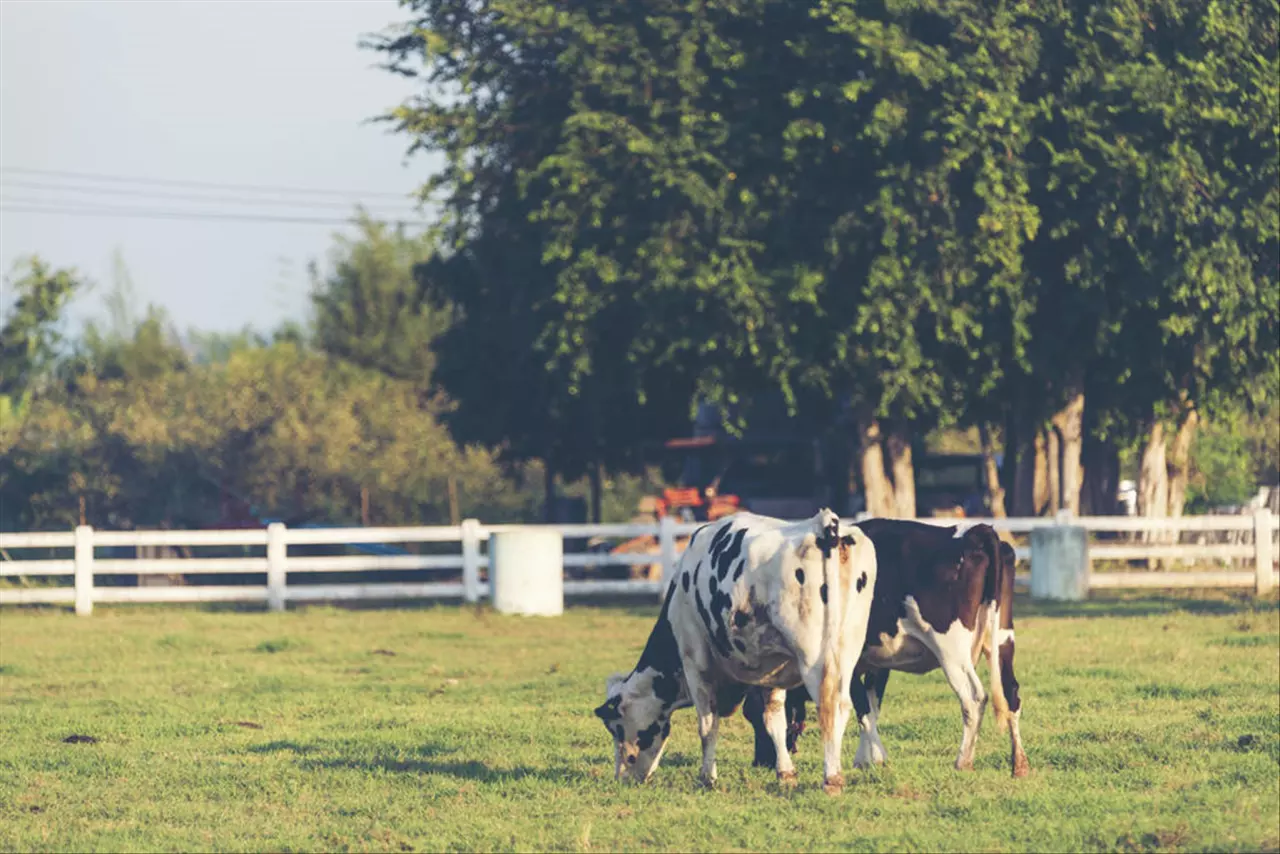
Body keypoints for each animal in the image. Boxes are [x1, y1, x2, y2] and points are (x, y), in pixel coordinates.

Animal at [591, 507, 875, 793]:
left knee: (828, 707)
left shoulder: (696, 663)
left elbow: (707, 724)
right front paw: (785, 773)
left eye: (615, 728)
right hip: (846, 651)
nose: (622, 777)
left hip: (814, 657)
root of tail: (825, 526)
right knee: (843, 705)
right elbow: (774, 718)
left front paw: (707, 777)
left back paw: (831, 778)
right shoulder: (772, 665)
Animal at [742, 517, 1029, 778]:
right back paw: (1019, 764)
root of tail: (975, 532)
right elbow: (872, 706)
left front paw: (875, 758)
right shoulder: (876, 663)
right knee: (1011, 692)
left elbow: (862, 708)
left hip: (951, 649)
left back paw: (963, 761)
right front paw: (865, 758)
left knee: (973, 697)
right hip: (1003, 639)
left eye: (751, 714)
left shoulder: (848, 664)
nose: (760, 762)